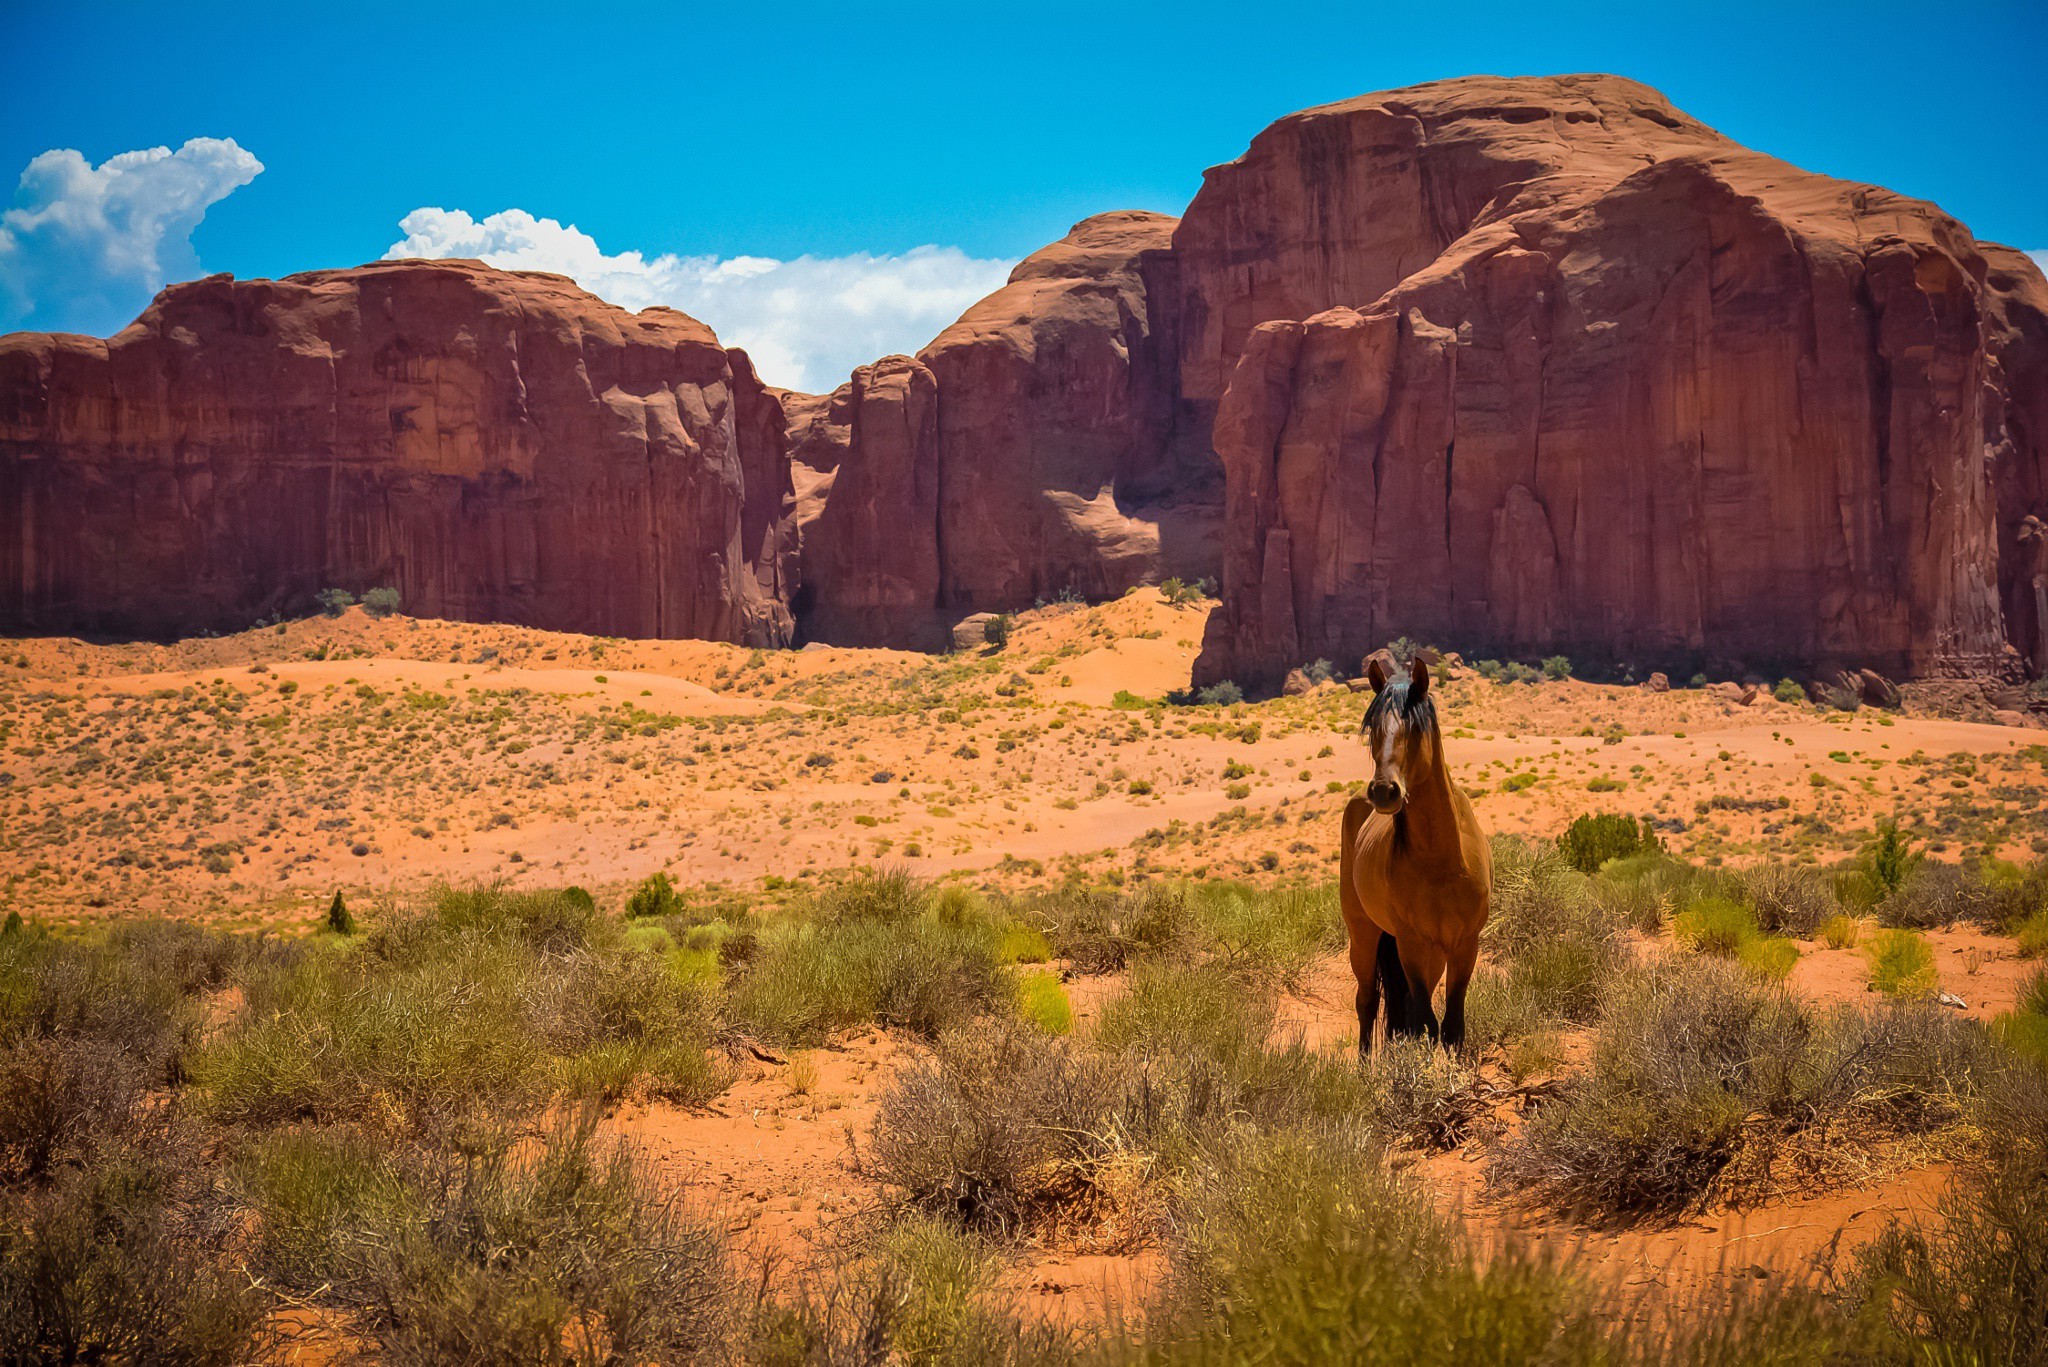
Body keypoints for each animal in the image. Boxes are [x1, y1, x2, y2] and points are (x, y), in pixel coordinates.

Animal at [1343, 651, 1490, 1049]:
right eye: (1373, 729)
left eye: (1415, 729)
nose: (1384, 792)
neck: (1442, 862)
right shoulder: (1411, 944)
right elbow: (1425, 1022)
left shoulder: (1464, 946)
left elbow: (1452, 1027)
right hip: (1363, 934)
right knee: (1367, 1001)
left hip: (1432, 954)